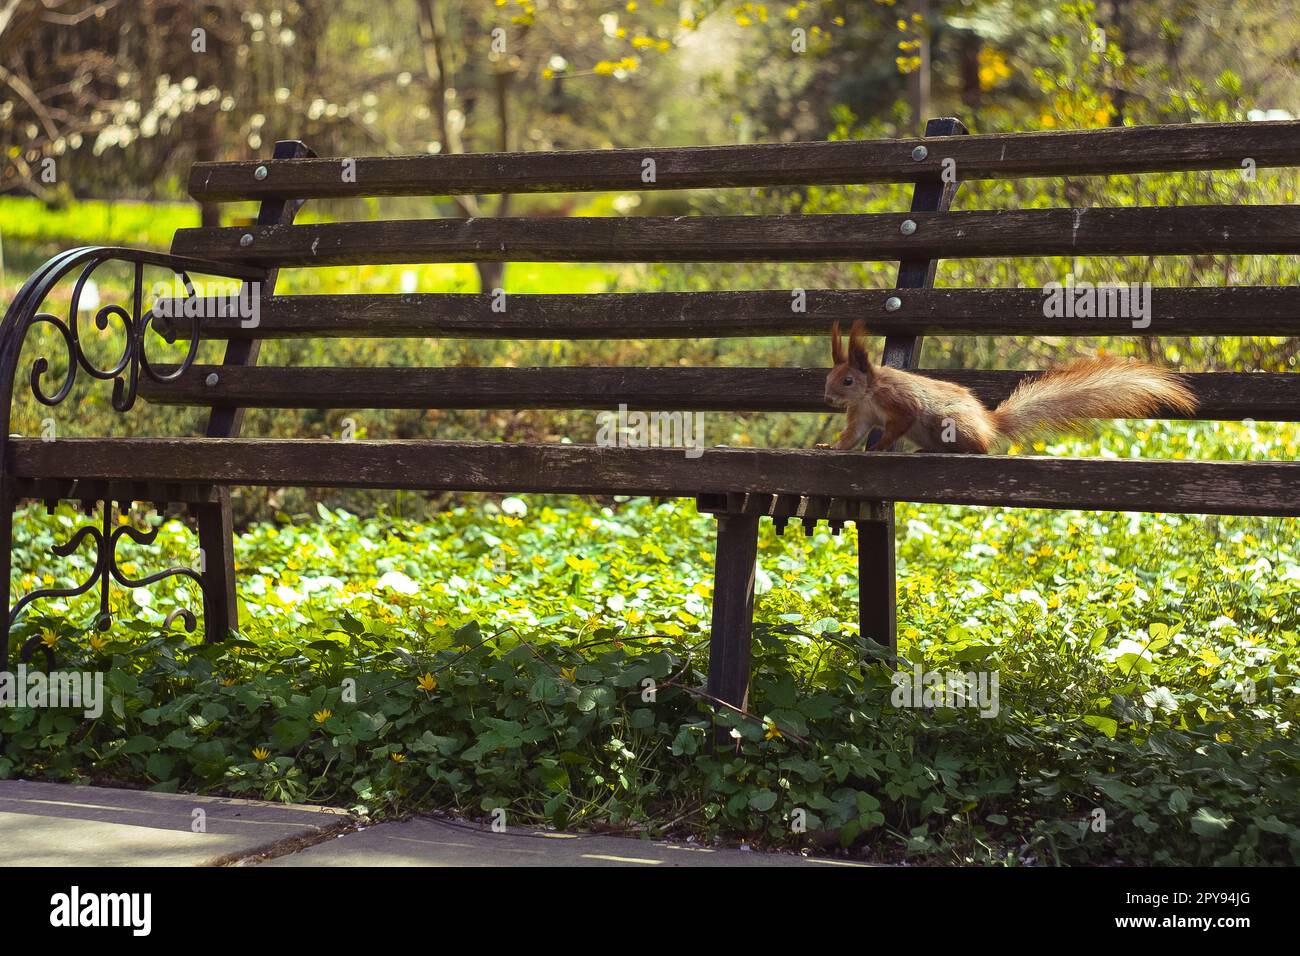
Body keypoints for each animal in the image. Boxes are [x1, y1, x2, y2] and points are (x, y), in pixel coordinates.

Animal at [821, 321, 1196, 455]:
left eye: (848, 380)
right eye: (829, 377)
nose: (827, 397)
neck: (870, 392)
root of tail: (989, 425)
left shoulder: (898, 399)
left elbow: (901, 420)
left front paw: (879, 446)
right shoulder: (860, 414)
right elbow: (851, 435)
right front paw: (830, 446)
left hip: (950, 422)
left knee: (980, 449)